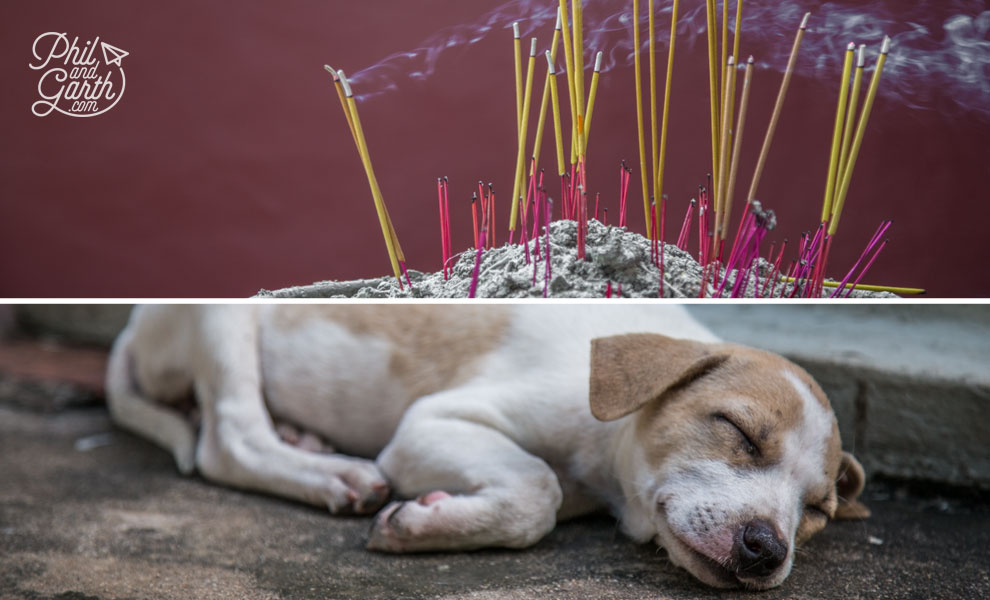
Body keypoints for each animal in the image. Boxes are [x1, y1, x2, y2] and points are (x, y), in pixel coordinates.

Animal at [106, 308, 868, 588]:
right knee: (230, 439)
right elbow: (536, 490)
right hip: (225, 322)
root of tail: (135, 328)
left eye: (817, 512)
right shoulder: (431, 423)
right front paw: (423, 524)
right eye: (737, 430)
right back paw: (332, 476)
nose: (766, 551)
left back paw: (306, 440)